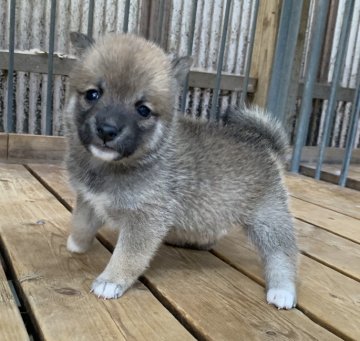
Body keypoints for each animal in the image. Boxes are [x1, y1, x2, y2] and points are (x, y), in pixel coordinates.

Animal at [64, 31, 298, 308]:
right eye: (93, 94)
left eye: (143, 110)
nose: (107, 130)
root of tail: (267, 145)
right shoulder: (89, 199)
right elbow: (82, 223)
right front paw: (76, 244)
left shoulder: (144, 220)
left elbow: (127, 255)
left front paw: (111, 280)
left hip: (269, 220)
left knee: (282, 253)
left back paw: (283, 290)